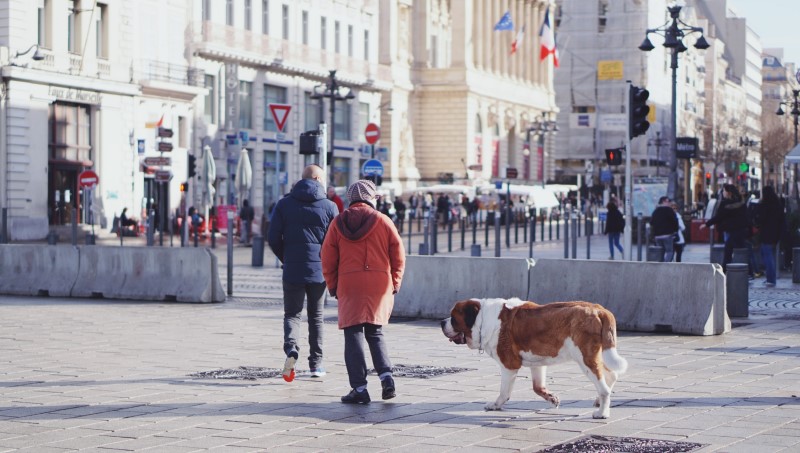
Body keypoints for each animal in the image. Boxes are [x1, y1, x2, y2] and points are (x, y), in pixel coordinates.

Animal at [440, 298, 628, 418]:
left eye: (454, 318)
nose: (442, 322)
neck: (483, 320)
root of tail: (599, 309)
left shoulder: (509, 366)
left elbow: (504, 392)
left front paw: (496, 405)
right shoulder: (537, 362)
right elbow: (537, 387)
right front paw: (552, 398)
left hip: (585, 358)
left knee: (604, 388)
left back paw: (602, 413)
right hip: (593, 356)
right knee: (611, 375)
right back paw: (598, 402)